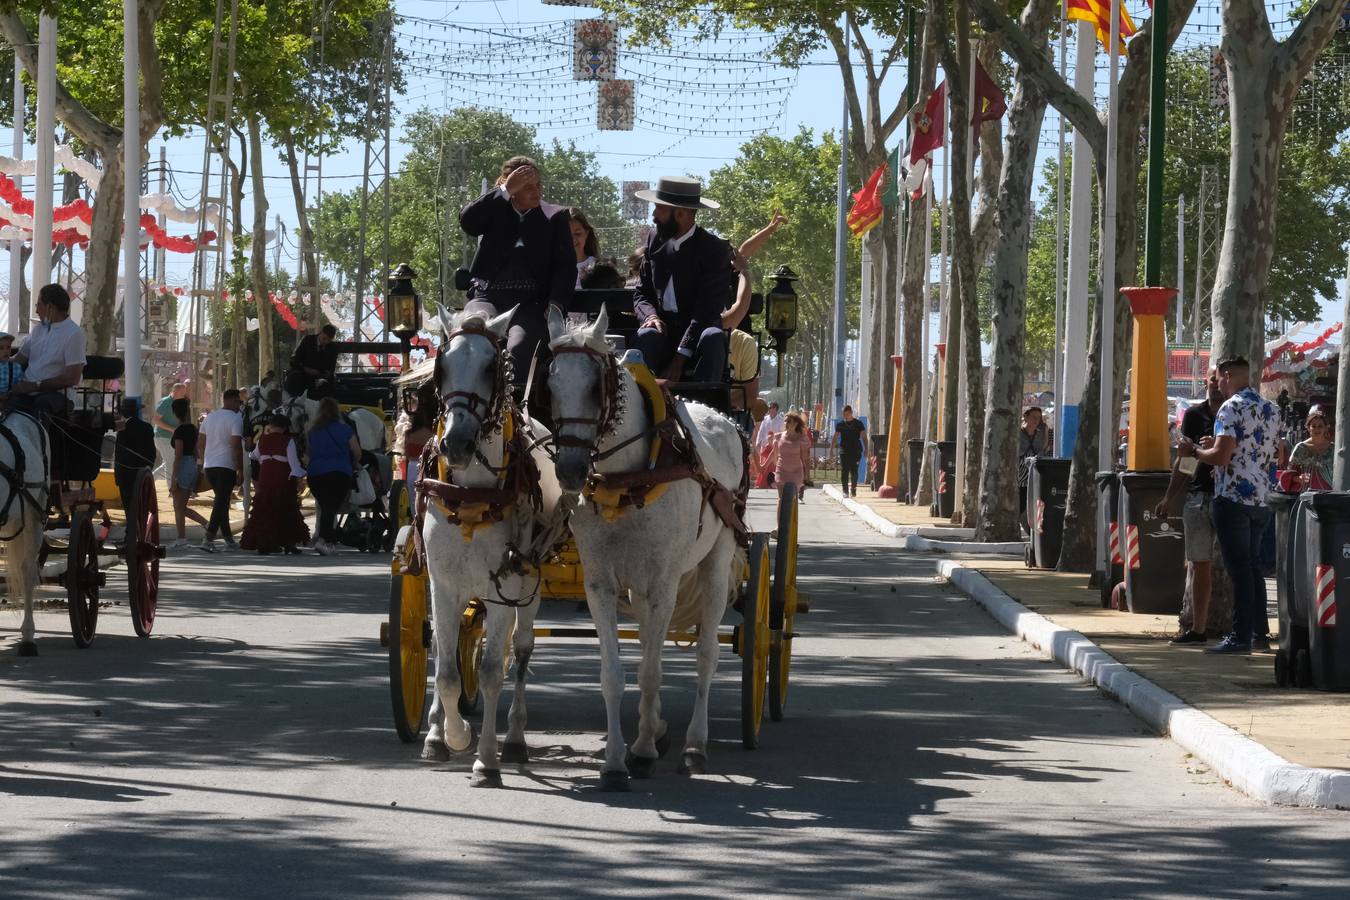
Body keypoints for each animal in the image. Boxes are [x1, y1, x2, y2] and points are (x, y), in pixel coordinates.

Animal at [421, 304, 569, 788]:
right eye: (442, 366)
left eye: (491, 367)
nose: (457, 443)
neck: (472, 492)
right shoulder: (443, 584)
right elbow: (447, 673)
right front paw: (450, 735)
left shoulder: (505, 590)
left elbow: (489, 673)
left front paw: (485, 758)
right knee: (444, 649)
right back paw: (435, 729)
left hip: (529, 586)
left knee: (520, 652)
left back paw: (516, 738)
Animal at [542, 306, 745, 793]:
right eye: (550, 386)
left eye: (596, 388)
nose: (571, 470)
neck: (629, 476)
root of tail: (722, 417)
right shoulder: (600, 583)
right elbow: (615, 675)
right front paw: (617, 760)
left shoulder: (664, 583)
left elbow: (651, 671)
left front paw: (645, 750)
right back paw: (654, 729)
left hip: (714, 562)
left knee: (706, 654)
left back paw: (693, 744)